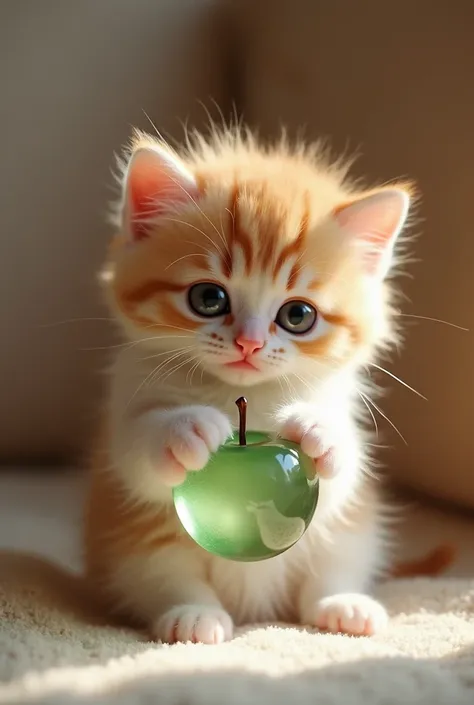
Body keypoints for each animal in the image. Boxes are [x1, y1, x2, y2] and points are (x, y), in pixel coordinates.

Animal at [84, 126, 414, 644]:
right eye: (208, 298)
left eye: (298, 315)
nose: (249, 344)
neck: (246, 395)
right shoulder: (126, 403)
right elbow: (137, 458)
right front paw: (184, 430)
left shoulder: (341, 423)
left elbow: (341, 476)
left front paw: (319, 432)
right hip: (130, 547)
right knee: (160, 574)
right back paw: (193, 615)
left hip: (350, 536)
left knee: (329, 570)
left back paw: (343, 605)